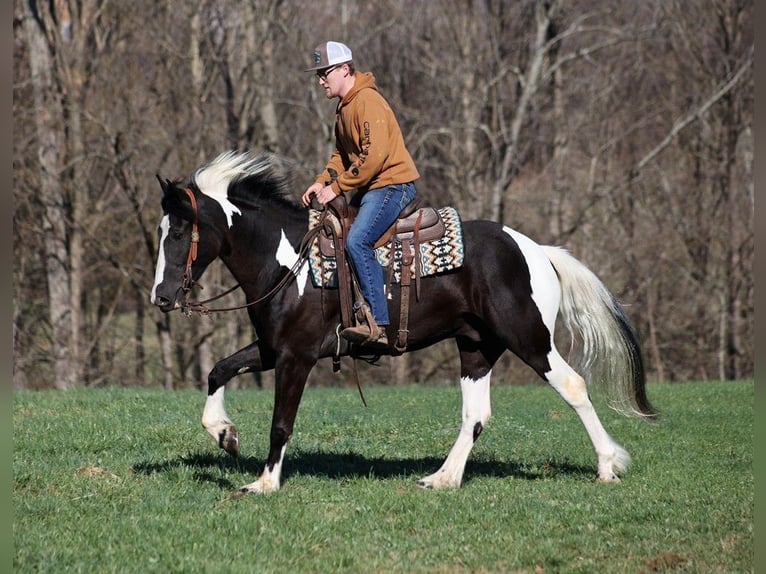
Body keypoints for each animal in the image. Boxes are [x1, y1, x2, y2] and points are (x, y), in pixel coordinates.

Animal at [153, 151, 656, 498]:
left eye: (177, 232)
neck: (289, 262)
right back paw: (442, 479)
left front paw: (264, 483)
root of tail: (535, 250)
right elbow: (218, 370)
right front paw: (225, 434)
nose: (160, 297)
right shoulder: (271, 349)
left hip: (530, 339)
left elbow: (281, 422)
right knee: (476, 415)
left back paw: (608, 466)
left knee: (573, 385)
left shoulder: (296, 357)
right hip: (476, 347)